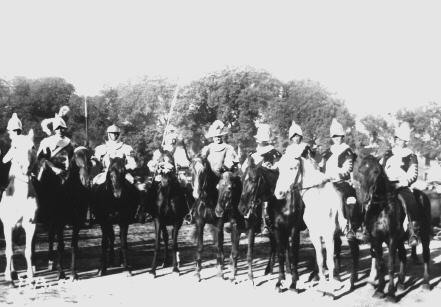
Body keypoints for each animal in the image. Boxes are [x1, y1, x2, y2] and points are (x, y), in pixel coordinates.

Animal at [33, 147, 93, 282]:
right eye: (77, 157)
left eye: (90, 157)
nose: (86, 180)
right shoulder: (59, 223)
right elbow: (60, 246)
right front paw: (61, 273)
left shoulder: (77, 223)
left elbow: (73, 246)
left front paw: (73, 273)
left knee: (50, 237)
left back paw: (51, 262)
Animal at [239, 158, 276, 288]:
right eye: (241, 179)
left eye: (254, 180)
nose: (242, 208)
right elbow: (249, 254)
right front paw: (250, 277)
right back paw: (269, 269)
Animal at [272, 158, 348, 294]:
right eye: (279, 169)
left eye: (292, 168)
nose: (279, 193)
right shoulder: (312, 235)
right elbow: (320, 259)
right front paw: (322, 286)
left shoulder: (327, 234)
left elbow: (328, 260)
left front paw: (330, 289)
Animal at [354, 155, 430, 300]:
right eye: (359, 170)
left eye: (376, 171)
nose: (364, 197)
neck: (381, 208)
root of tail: (423, 195)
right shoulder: (376, 240)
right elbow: (380, 265)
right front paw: (379, 290)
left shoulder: (392, 239)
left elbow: (390, 266)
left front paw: (390, 293)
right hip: (401, 240)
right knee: (403, 257)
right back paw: (400, 284)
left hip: (424, 234)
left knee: (426, 255)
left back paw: (426, 283)